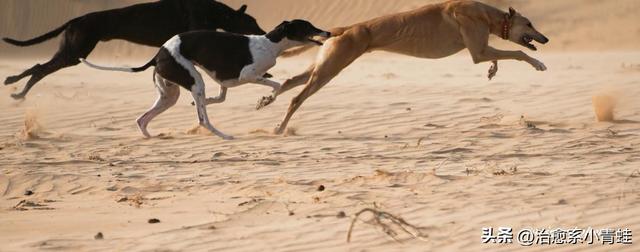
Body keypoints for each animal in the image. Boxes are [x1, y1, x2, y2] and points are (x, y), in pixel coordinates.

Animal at [1, 0, 262, 100]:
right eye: (251, 22)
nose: (263, 31)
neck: (213, 9)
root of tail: (73, 20)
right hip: (74, 53)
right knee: (39, 69)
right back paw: (18, 90)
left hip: (70, 52)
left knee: (39, 67)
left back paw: (15, 87)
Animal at [80, 20, 330, 140]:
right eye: (307, 26)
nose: (328, 33)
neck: (270, 44)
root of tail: (159, 54)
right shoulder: (247, 75)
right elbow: (277, 86)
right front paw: (265, 100)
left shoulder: (224, 81)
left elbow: (220, 98)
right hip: (195, 81)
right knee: (202, 120)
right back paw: (225, 136)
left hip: (169, 94)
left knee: (142, 119)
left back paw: (151, 136)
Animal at [258, 0, 548, 134]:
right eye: (530, 23)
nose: (546, 39)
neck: (487, 14)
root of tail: (344, 28)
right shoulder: (478, 51)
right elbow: (518, 52)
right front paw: (538, 63)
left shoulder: (479, 49)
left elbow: (497, 56)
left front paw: (492, 70)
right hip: (330, 69)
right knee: (296, 97)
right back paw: (279, 128)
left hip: (323, 65)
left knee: (288, 82)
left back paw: (266, 101)